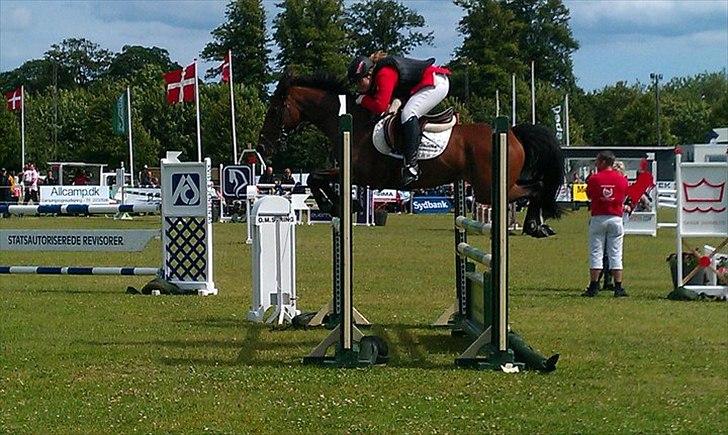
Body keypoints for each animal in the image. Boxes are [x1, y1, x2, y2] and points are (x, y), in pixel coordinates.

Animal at [258, 72, 565, 237]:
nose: (261, 147)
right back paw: (538, 227)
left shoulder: (359, 173)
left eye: (274, 110)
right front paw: (340, 204)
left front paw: (334, 204)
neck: (353, 122)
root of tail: (511, 132)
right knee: (535, 187)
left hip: (488, 189)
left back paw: (535, 226)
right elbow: (316, 178)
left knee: (536, 188)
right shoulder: (352, 173)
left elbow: (315, 177)